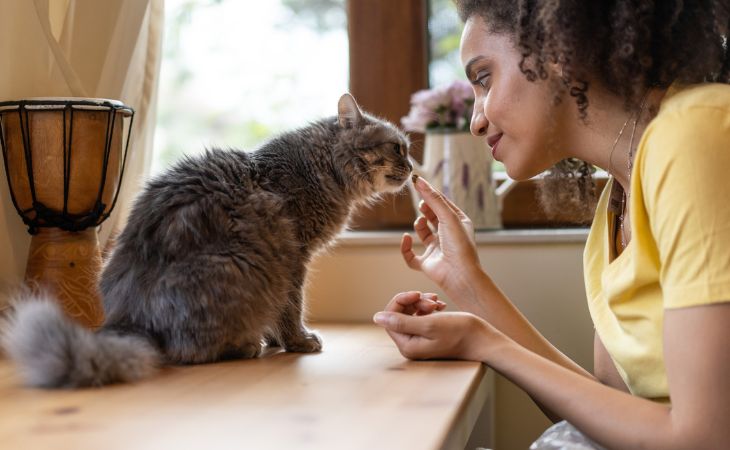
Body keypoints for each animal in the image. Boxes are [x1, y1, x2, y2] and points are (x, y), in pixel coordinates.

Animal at [0, 93, 412, 388]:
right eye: (397, 148)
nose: (412, 166)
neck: (319, 168)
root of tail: (133, 318)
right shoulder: (294, 258)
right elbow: (291, 308)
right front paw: (296, 341)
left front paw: (276, 339)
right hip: (240, 266)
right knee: (190, 351)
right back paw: (244, 346)